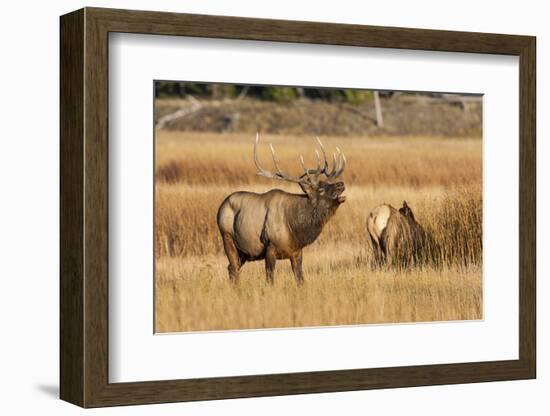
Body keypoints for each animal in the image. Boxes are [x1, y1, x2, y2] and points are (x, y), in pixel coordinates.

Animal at [218, 133, 348, 286]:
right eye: (321, 189)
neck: (295, 229)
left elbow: (300, 279)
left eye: (327, 182)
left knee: (231, 268)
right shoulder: (270, 248)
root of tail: (220, 207)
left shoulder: (297, 252)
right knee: (233, 268)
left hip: (244, 252)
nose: (341, 184)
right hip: (227, 237)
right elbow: (270, 279)